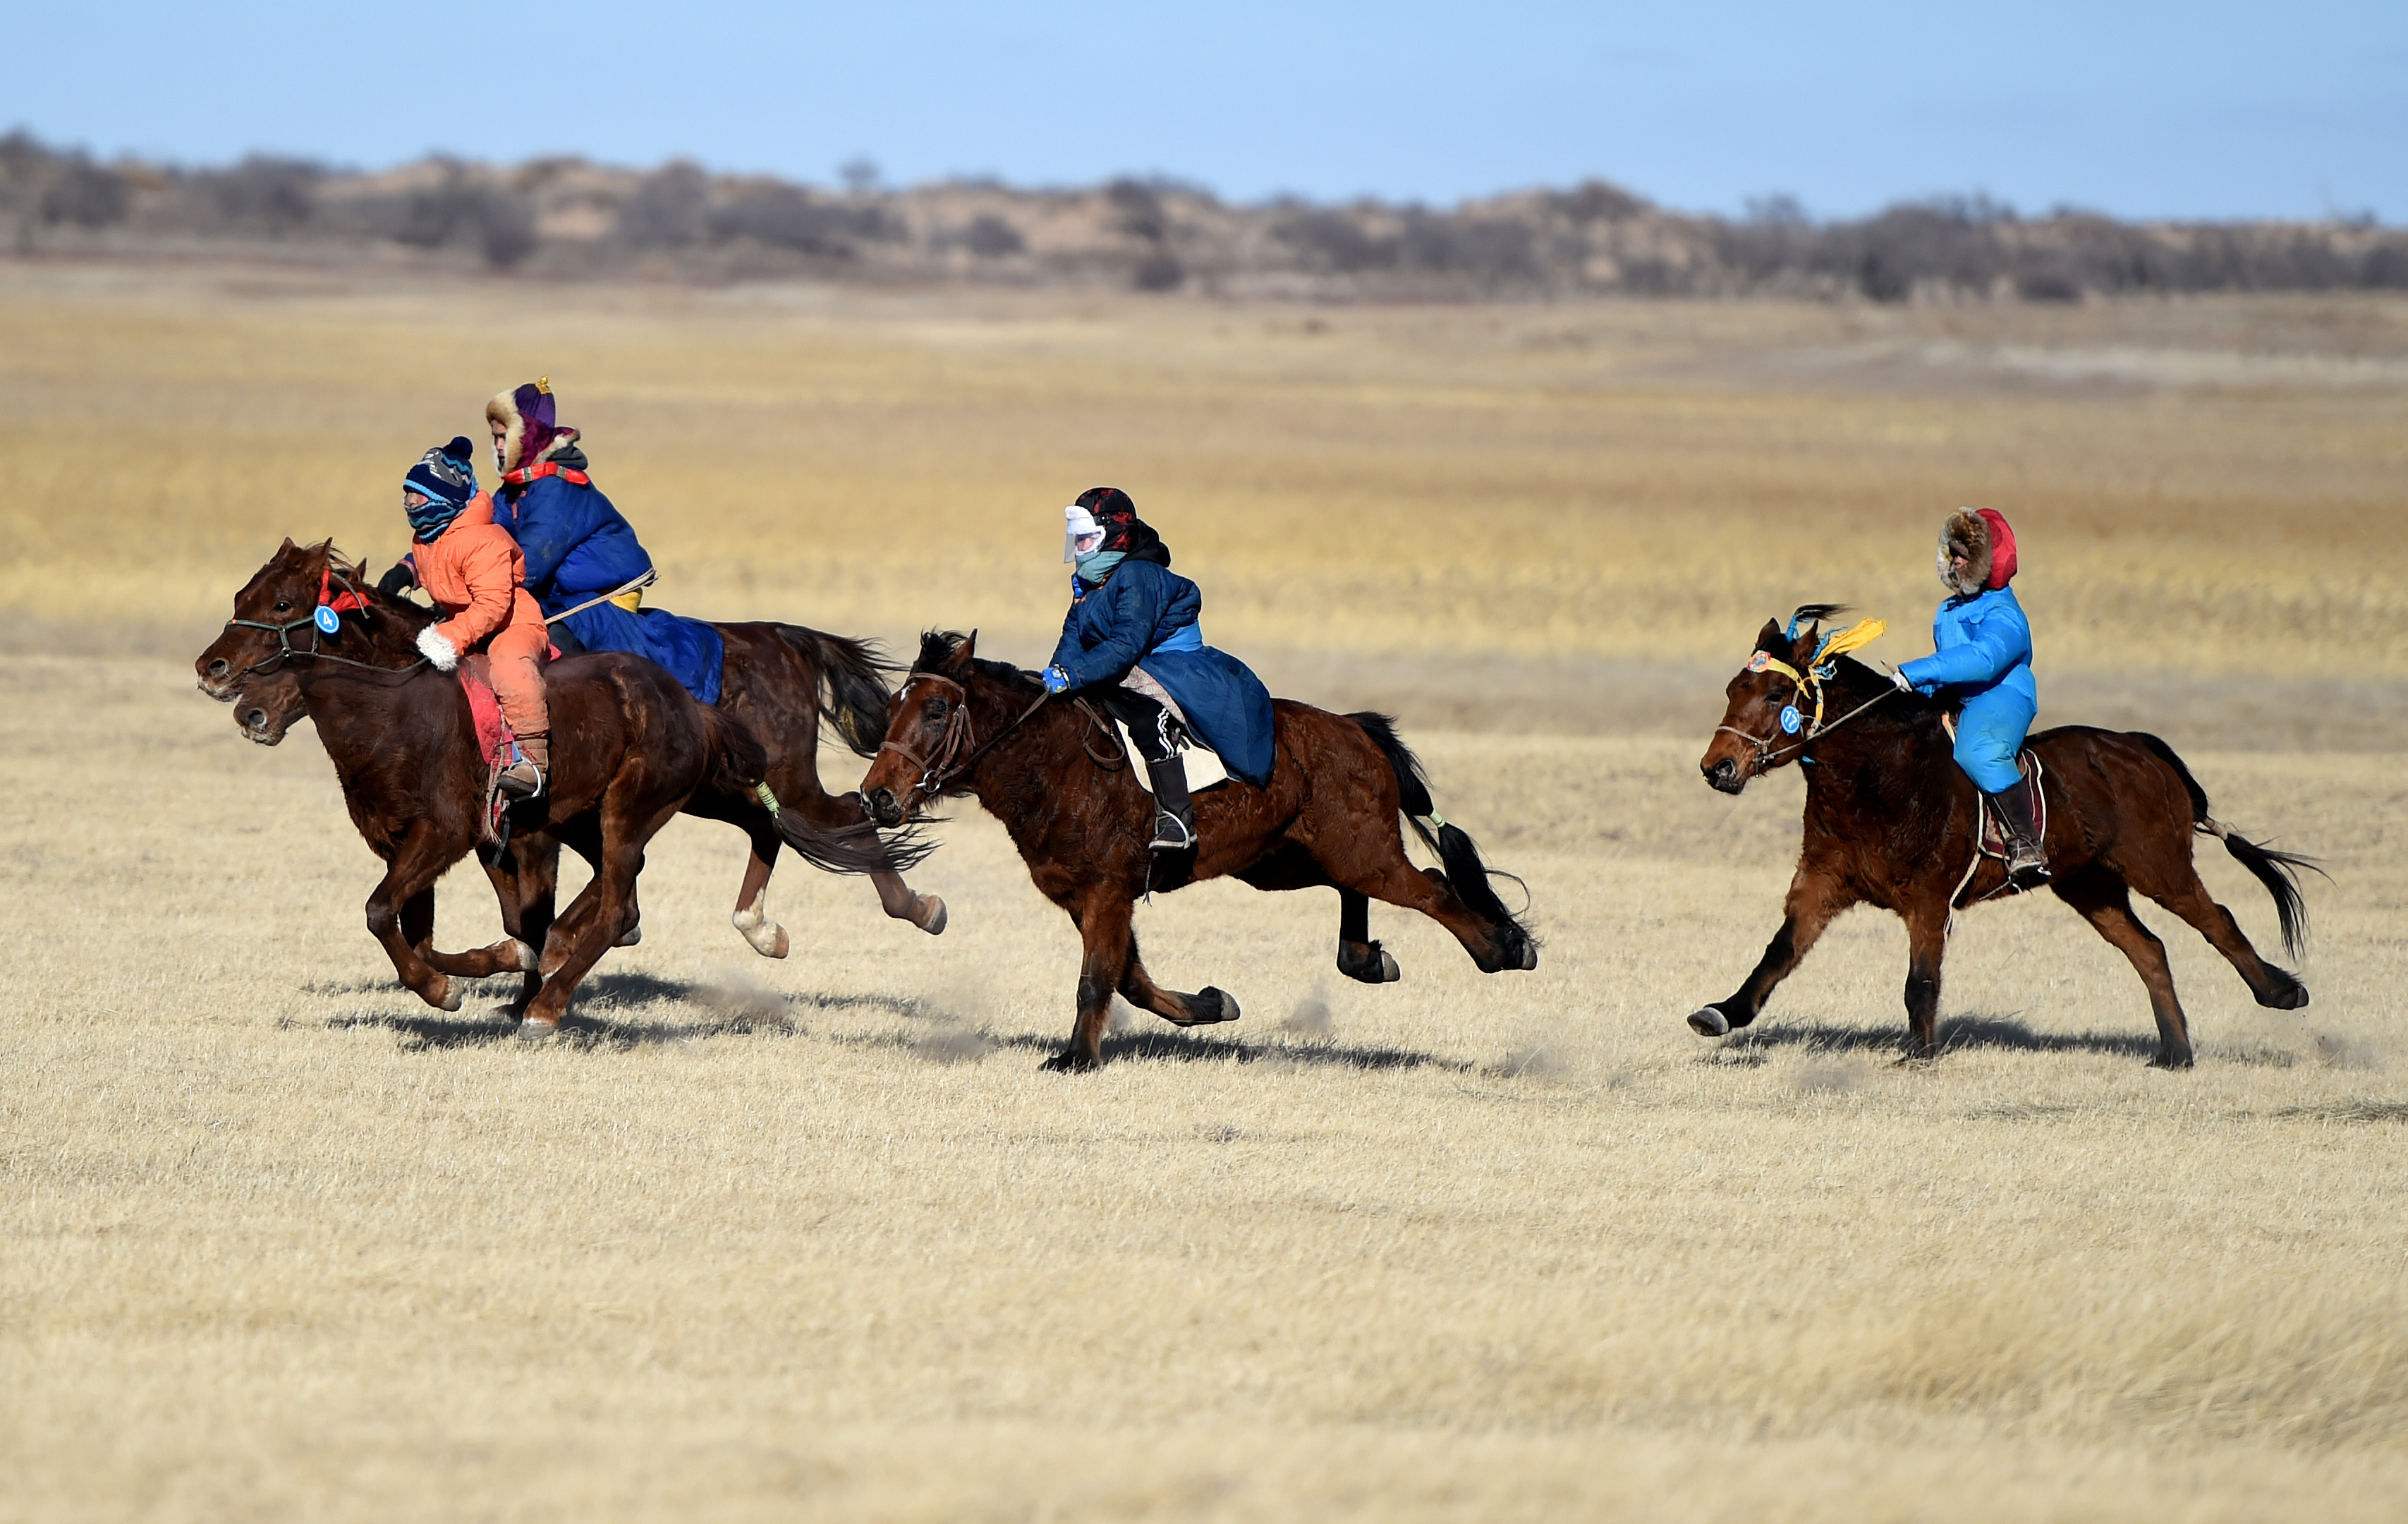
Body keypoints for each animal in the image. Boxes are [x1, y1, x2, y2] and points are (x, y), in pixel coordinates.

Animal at [195, 536, 905, 1035]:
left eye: (283, 605)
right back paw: (757, 927)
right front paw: (487, 973)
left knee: (823, 818)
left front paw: (481, 985)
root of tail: (783, 640)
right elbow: (433, 930)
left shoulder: (460, 834)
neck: (400, 708)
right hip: (703, 793)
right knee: (756, 831)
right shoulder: (437, 843)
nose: (216, 673)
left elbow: (389, 913)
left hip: (663, 799)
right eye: (239, 597)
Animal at [867, 631, 1531, 1069]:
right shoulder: (1085, 897)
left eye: (935, 709)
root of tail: (1354, 727)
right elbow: (1128, 979)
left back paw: (1503, 948)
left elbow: (1097, 978)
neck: (1056, 762)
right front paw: (1211, 1006)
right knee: (1364, 891)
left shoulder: (1107, 890)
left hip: (1363, 852)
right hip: (1289, 862)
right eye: (891, 706)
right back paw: (1367, 958)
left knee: (1433, 888)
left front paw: (1075, 1058)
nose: (876, 797)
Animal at [1695, 599, 2311, 1064]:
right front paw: (1721, 1012)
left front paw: (1919, 1056)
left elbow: (1920, 982)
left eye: (1776, 696)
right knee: (2151, 950)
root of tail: (2143, 749)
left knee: (2217, 920)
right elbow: (1778, 953)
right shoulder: (1821, 884)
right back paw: (2177, 1054)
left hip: (2158, 866)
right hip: (2090, 886)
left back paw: (2282, 992)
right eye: (1730, 691)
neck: (1880, 776)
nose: (1716, 768)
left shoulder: (1929, 900)